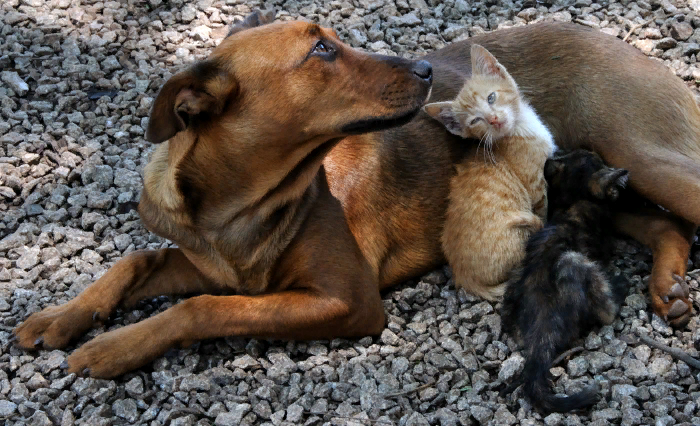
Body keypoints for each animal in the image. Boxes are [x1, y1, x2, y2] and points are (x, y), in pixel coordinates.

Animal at [424, 44, 556, 300]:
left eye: (491, 97)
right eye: (475, 120)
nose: (493, 119)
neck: (521, 128)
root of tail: (465, 278)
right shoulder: (537, 186)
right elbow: (544, 210)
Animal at [504, 149, 628, 412]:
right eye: (596, 158)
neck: (574, 200)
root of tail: (541, 326)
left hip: (515, 276)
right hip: (574, 261)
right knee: (606, 312)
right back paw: (620, 286)